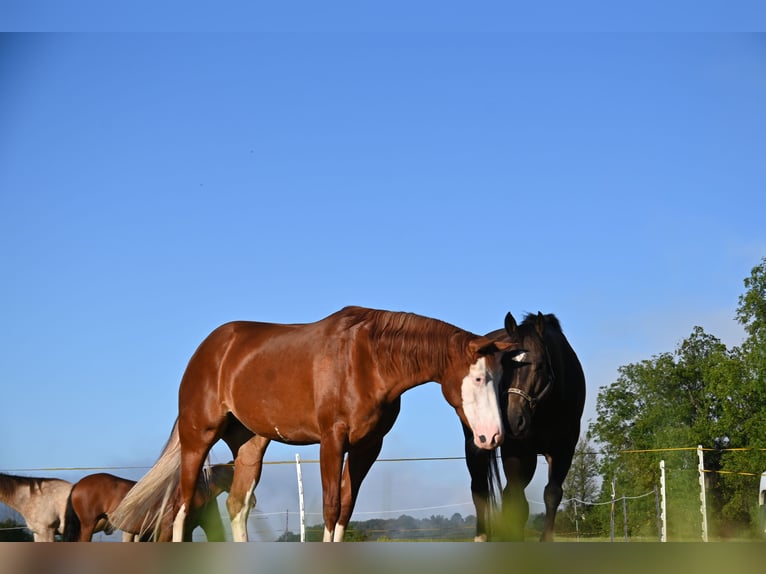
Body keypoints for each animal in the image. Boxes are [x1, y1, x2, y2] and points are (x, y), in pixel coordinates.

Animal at [109, 306, 517, 542]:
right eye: (478, 378)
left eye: (503, 379)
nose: (492, 436)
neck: (367, 360)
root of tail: (208, 350)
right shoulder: (331, 441)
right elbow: (331, 508)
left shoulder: (367, 447)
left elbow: (346, 510)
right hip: (199, 437)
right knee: (179, 508)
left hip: (250, 445)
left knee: (238, 505)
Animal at [463, 312, 585, 541]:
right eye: (504, 365)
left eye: (540, 365)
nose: (512, 421)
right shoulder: (518, 451)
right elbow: (518, 502)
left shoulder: (564, 449)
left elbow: (552, 493)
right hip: (478, 445)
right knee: (480, 490)